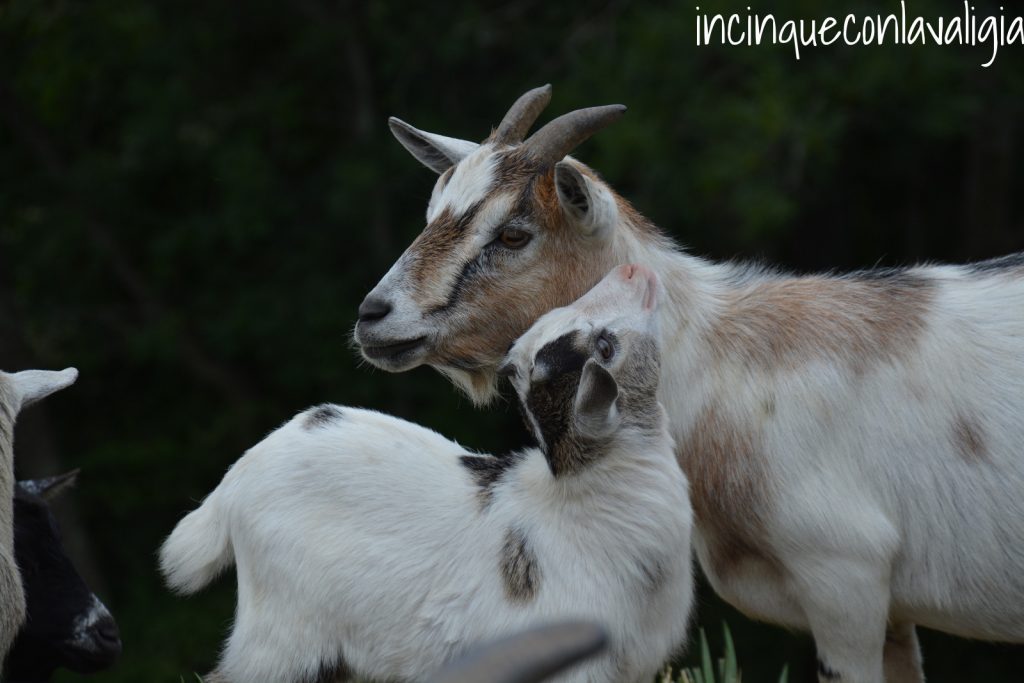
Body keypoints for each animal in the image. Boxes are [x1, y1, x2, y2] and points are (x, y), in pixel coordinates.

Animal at [354, 85, 1024, 682]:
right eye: (432, 215)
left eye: (514, 234)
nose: (373, 316)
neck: (724, 362)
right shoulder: (892, 616)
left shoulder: (845, 579)